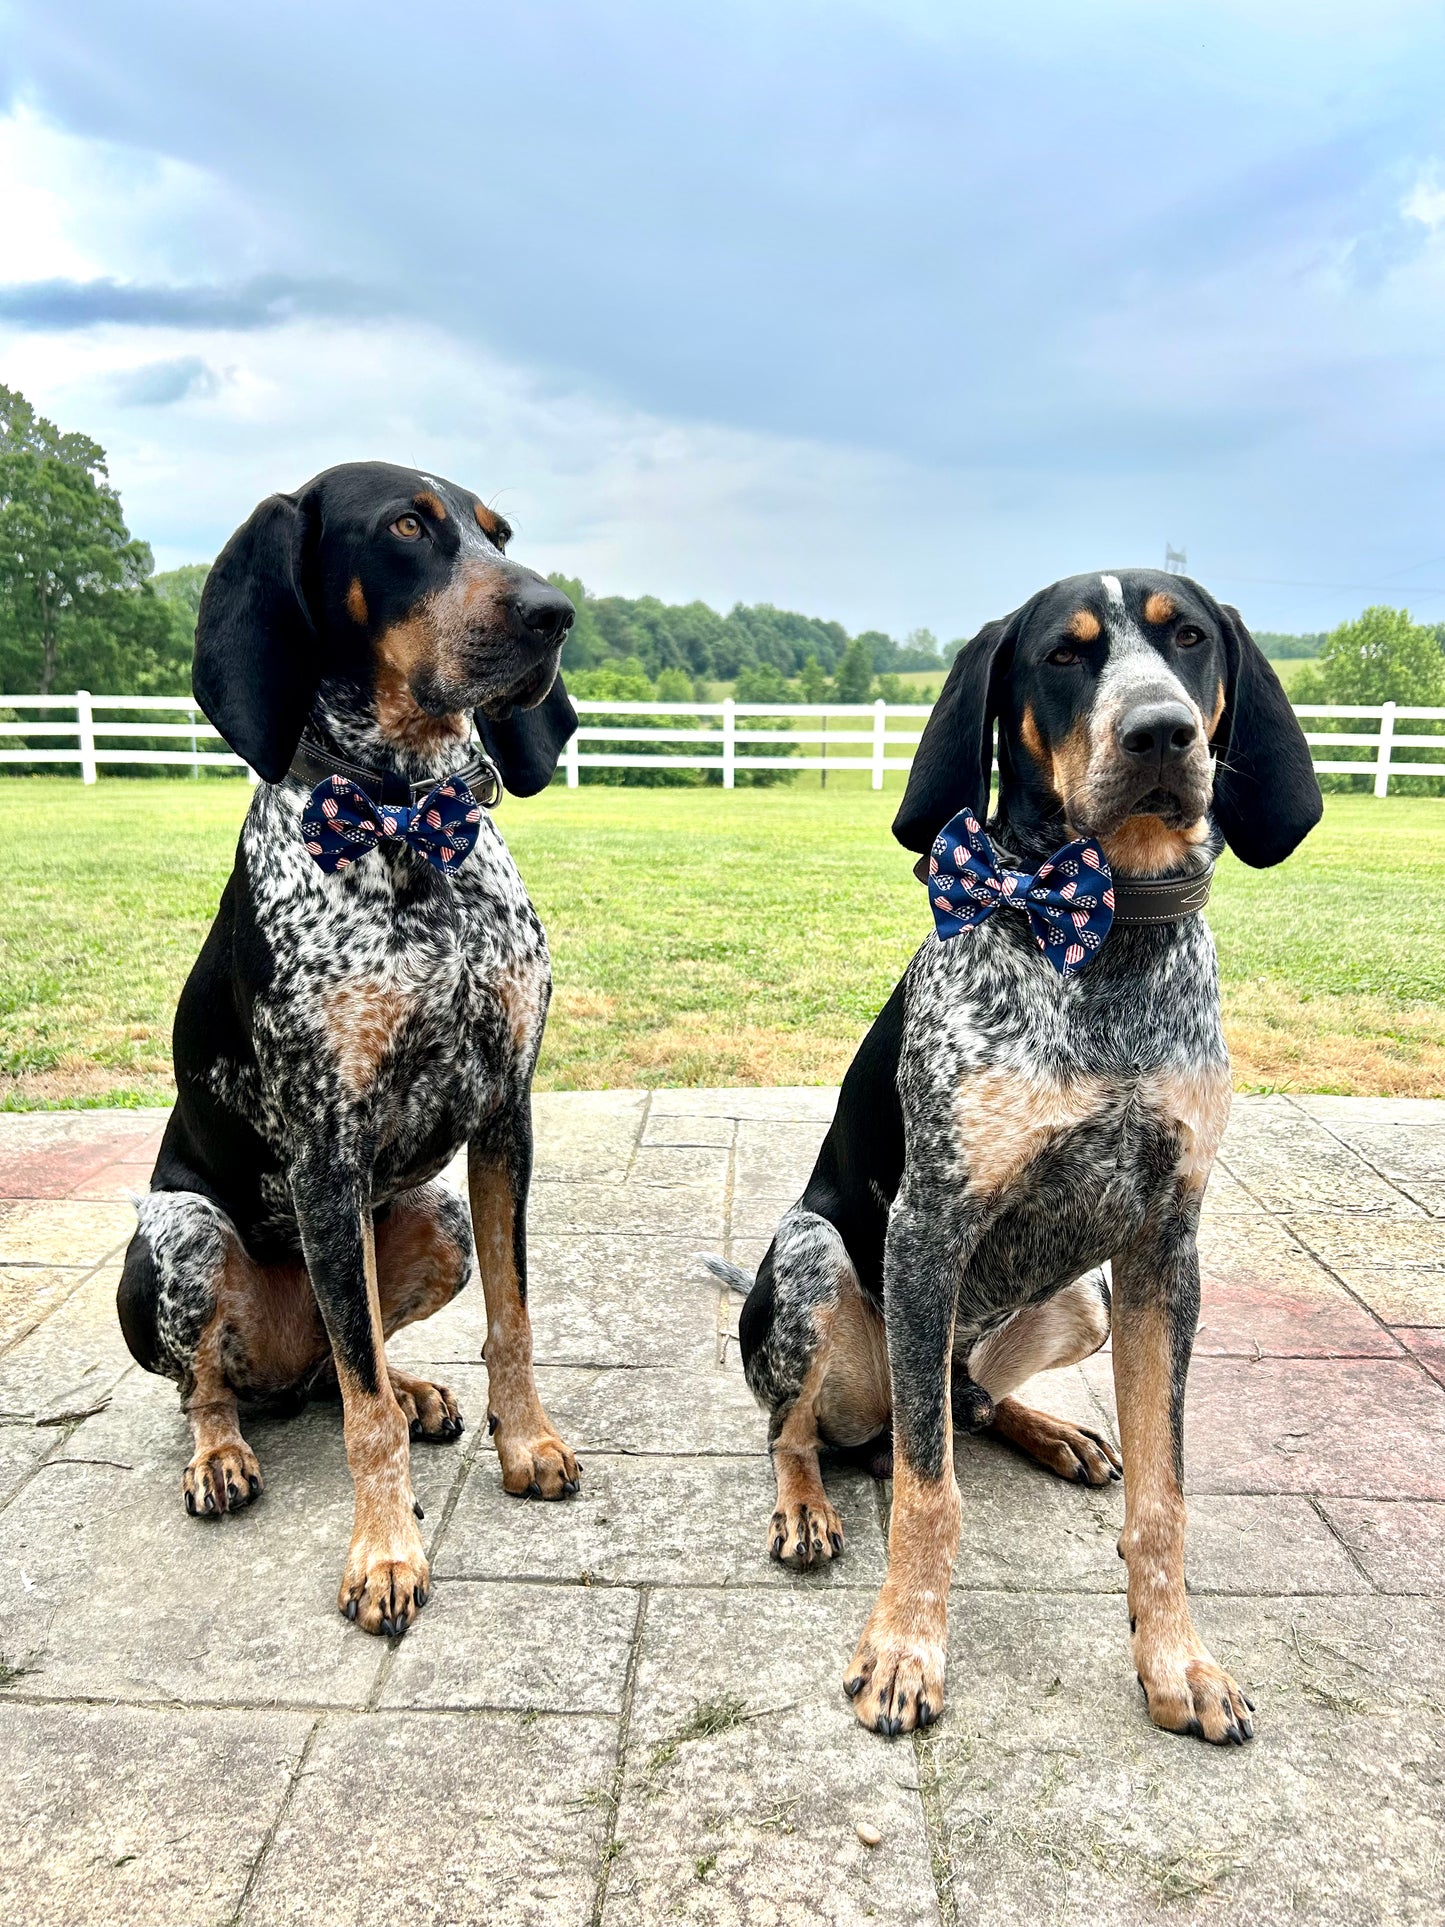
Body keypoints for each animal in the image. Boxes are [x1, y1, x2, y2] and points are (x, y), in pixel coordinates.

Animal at [116, 458, 581, 1634]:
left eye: (500, 533)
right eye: (407, 527)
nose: (554, 613)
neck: (404, 822)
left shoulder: (504, 1120)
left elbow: (510, 1321)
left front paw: (527, 1442)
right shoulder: (324, 1149)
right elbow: (360, 1411)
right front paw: (382, 1554)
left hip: (433, 1217)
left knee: (344, 1357)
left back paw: (412, 1392)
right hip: (182, 1232)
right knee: (226, 1383)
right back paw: (221, 1454)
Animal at [712, 566, 1325, 1749]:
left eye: (1189, 639)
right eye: (1063, 655)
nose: (1160, 732)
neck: (1107, 928)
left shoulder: (1162, 1254)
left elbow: (1161, 1500)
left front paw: (1176, 1659)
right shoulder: (925, 1230)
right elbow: (926, 1491)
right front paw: (903, 1649)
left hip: (1081, 1299)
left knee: (973, 1403)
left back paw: (1057, 1434)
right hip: (815, 1259)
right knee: (803, 1426)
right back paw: (805, 1503)